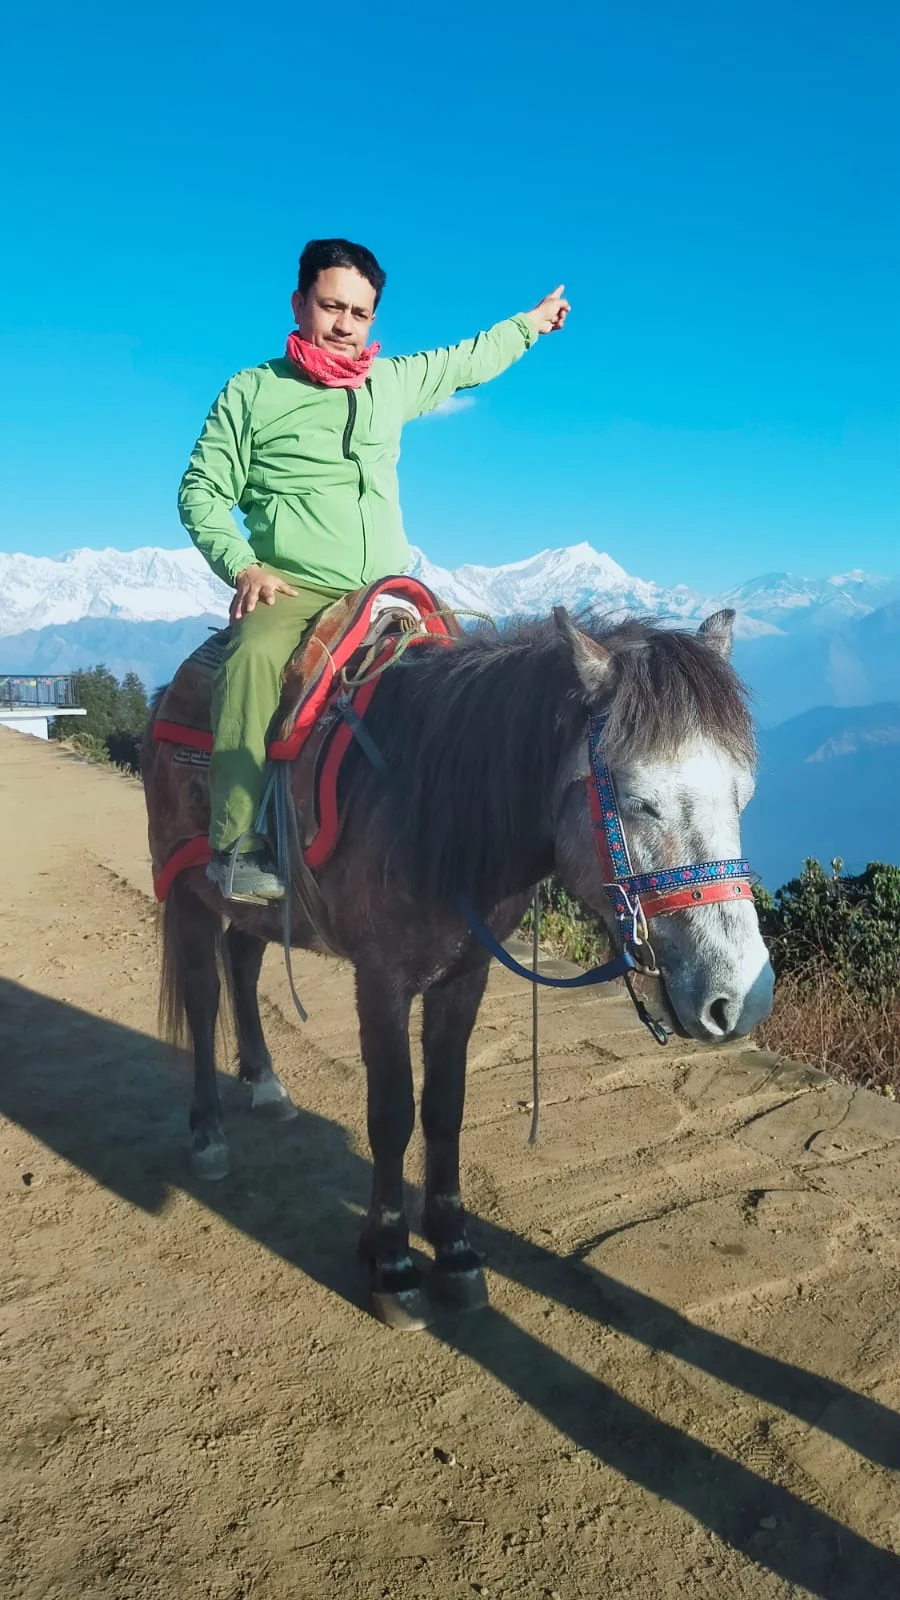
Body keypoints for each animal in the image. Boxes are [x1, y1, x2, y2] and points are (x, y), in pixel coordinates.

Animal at [142, 605, 774, 1329]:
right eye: (639, 800)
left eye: (742, 794)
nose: (740, 997)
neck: (434, 808)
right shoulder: (380, 979)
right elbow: (391, 1112)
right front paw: (391, 1262)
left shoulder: (466, 975)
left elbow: (446, 1106)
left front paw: (454, 1250)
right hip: (188, 888)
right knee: (202, 994)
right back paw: (208, 1132)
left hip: (267, 914)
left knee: (242, 962)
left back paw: (266, 1082)